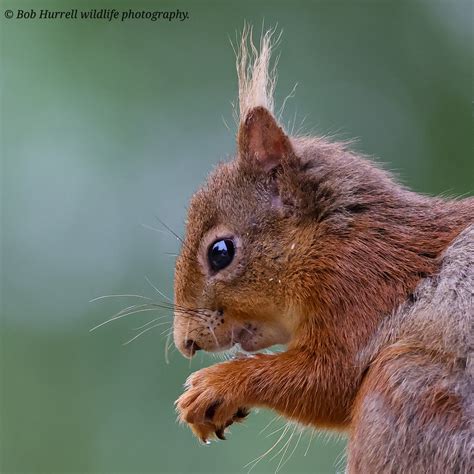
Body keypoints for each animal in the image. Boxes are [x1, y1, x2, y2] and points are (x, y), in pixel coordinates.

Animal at [172, 27, 472, 472]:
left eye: (220, 252)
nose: (185, 343)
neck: (336, 240)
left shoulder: (361, 294)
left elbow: (328, 382)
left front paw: (215, 386)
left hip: (408, 390)